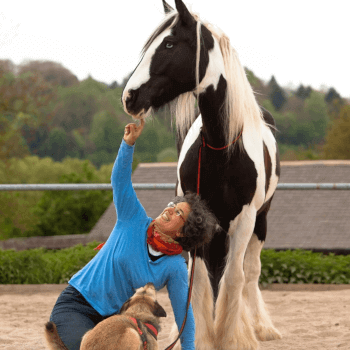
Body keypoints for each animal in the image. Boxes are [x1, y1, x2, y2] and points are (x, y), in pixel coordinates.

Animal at [123, 1, 282, 348]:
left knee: (249, 273)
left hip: (261, 223)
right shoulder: (196, 221)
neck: (222, 150)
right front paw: (200, 336)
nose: (129, 97)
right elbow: (198, 283)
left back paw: (261, 327)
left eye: (169, 44)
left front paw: (230, 337)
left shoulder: (245, 221)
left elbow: (234, 279)